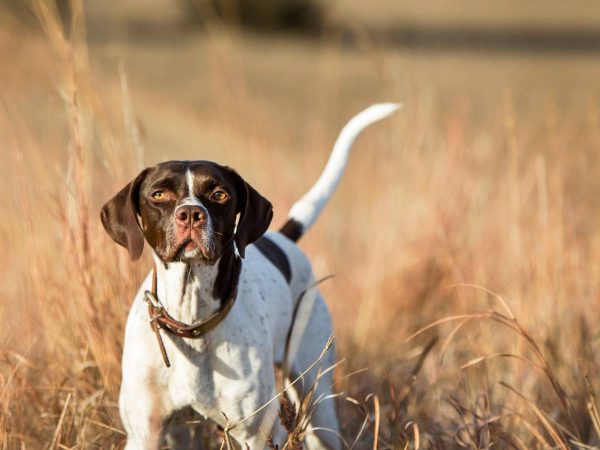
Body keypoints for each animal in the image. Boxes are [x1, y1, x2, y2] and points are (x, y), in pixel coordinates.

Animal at [99, 103, 398, 448]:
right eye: (158, 195)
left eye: (219, 194)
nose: (191, 213)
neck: (192, 321)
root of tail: (283, 239)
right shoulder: (145, 433)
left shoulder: (256, 434)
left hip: (318, 400)